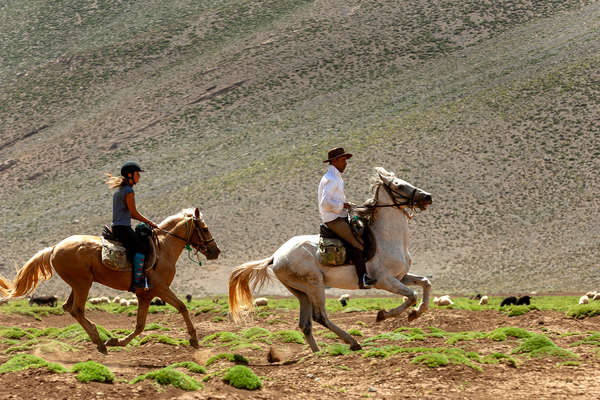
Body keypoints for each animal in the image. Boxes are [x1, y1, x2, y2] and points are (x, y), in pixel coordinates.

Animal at [0, 208, 220, 354]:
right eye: (205, 228)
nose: (215, 251)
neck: (163, 248)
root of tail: (54, 248)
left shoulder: (145, 295)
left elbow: (140, 325)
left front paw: (116, 341)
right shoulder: (160, 289)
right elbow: (182, 307)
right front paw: (194, 339)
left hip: (78, 284)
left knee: (68, 307)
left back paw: (98, 340)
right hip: (83, 284)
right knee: (77, 310)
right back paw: (98, 340)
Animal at [229, 167, 432, 352]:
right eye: (399, 185)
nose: (427, 197)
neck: (386, 238)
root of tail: (276, 256)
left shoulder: (400, 277)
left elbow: (425, 283)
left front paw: (416, 313)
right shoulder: (384, 281)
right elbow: (411, 295)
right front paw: (384, 315)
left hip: (301, 292)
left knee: (305, 324)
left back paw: (318, 352)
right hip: (315, 285)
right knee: (320, 317)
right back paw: (352, 342)